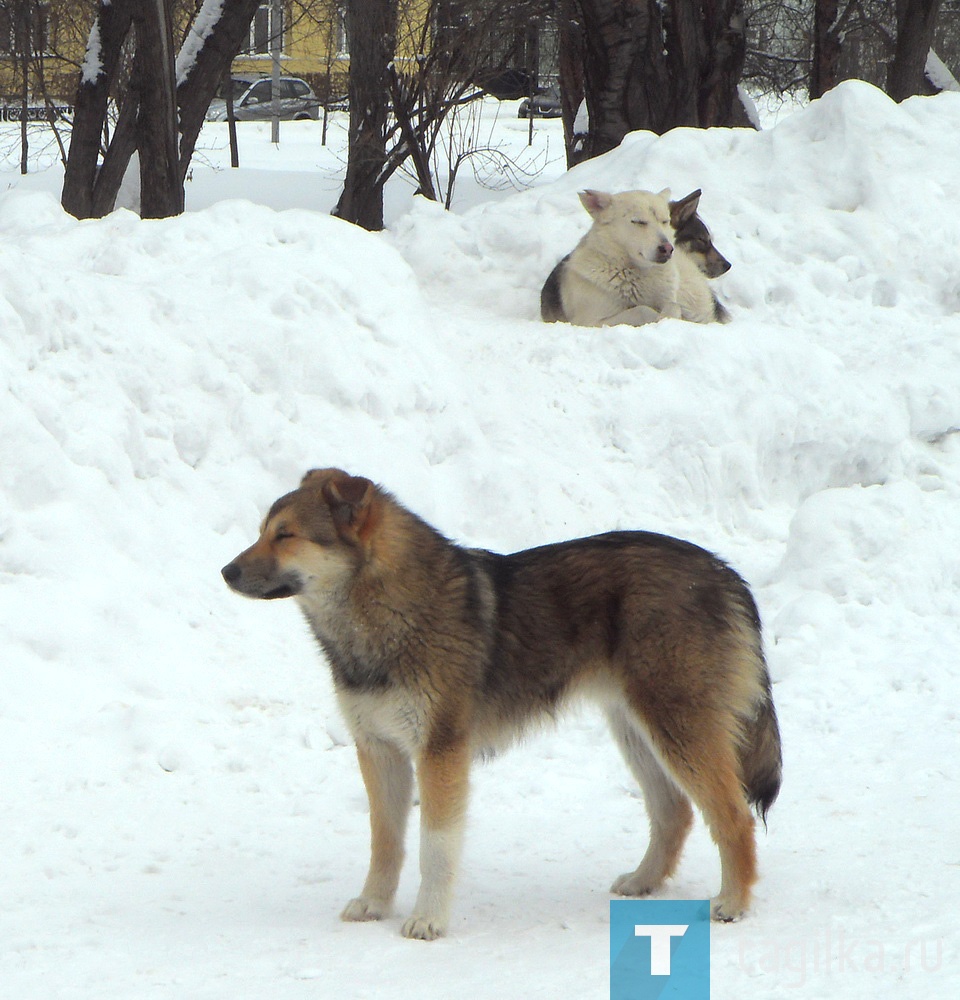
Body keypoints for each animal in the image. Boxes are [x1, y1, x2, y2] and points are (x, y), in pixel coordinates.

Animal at [223, 468, 780, 936]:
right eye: (262, 530)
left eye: (286, 535)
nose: (226, 571)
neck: (382, 617)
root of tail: (724, 572)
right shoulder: (378, 749)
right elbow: (385, 842)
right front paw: (375, 904)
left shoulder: (439, 752)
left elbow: (434, 848)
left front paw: (427, 920)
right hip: (636, 727)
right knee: (674, 812)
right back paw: (643, 882)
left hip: (676, 726)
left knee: (733, 818)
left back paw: (733, 903)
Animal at [540, 189, 728, 326]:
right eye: (639, 222)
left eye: (664, 221)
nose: (667, 248)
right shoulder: (588, 321)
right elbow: (643, 310)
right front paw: (656, 317)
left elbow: (673, 307)